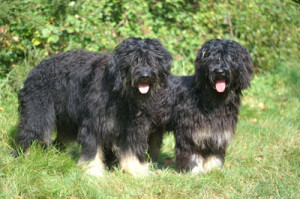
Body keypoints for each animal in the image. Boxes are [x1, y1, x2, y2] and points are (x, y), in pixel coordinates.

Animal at [17, 37, 171, 177]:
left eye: (152, 60)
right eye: (133, 61)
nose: (145, 75)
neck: (121, 93)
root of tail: (35, 69)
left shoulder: (133, 127)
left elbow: (132, 150)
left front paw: (137, 170)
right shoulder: (93, 123)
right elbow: (92, 150)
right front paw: (92, 171)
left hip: (67, 121)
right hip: (37, 111)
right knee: (28, 132)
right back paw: (23, 156)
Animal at [166, 38, 253, 173]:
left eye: (230, 59)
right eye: (211, 59)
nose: (220, 72)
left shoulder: (218, 131)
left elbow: (215, 152)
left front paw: (213, 169)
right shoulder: (190, 132)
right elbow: (192, 153)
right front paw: (193, 170)